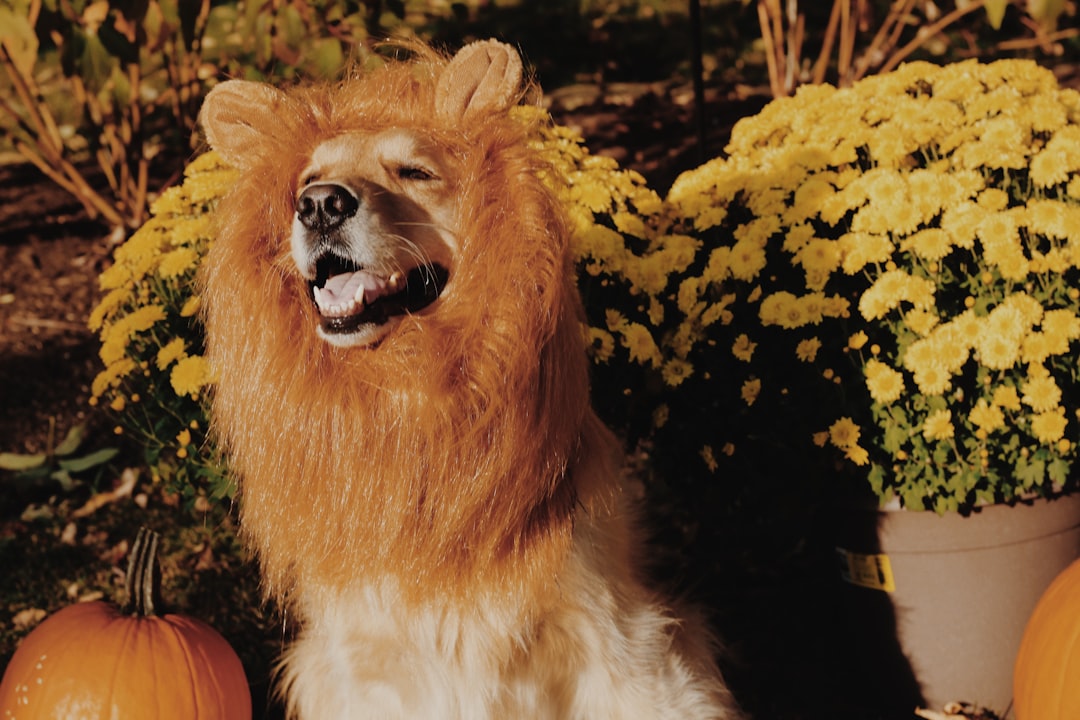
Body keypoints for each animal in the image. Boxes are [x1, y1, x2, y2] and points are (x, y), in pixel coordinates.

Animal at [198, 40, 743, 720]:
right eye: (303, 182)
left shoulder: (621, 642)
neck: (413, 395)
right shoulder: (365, 667)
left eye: (415, 172)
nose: (320, 204)